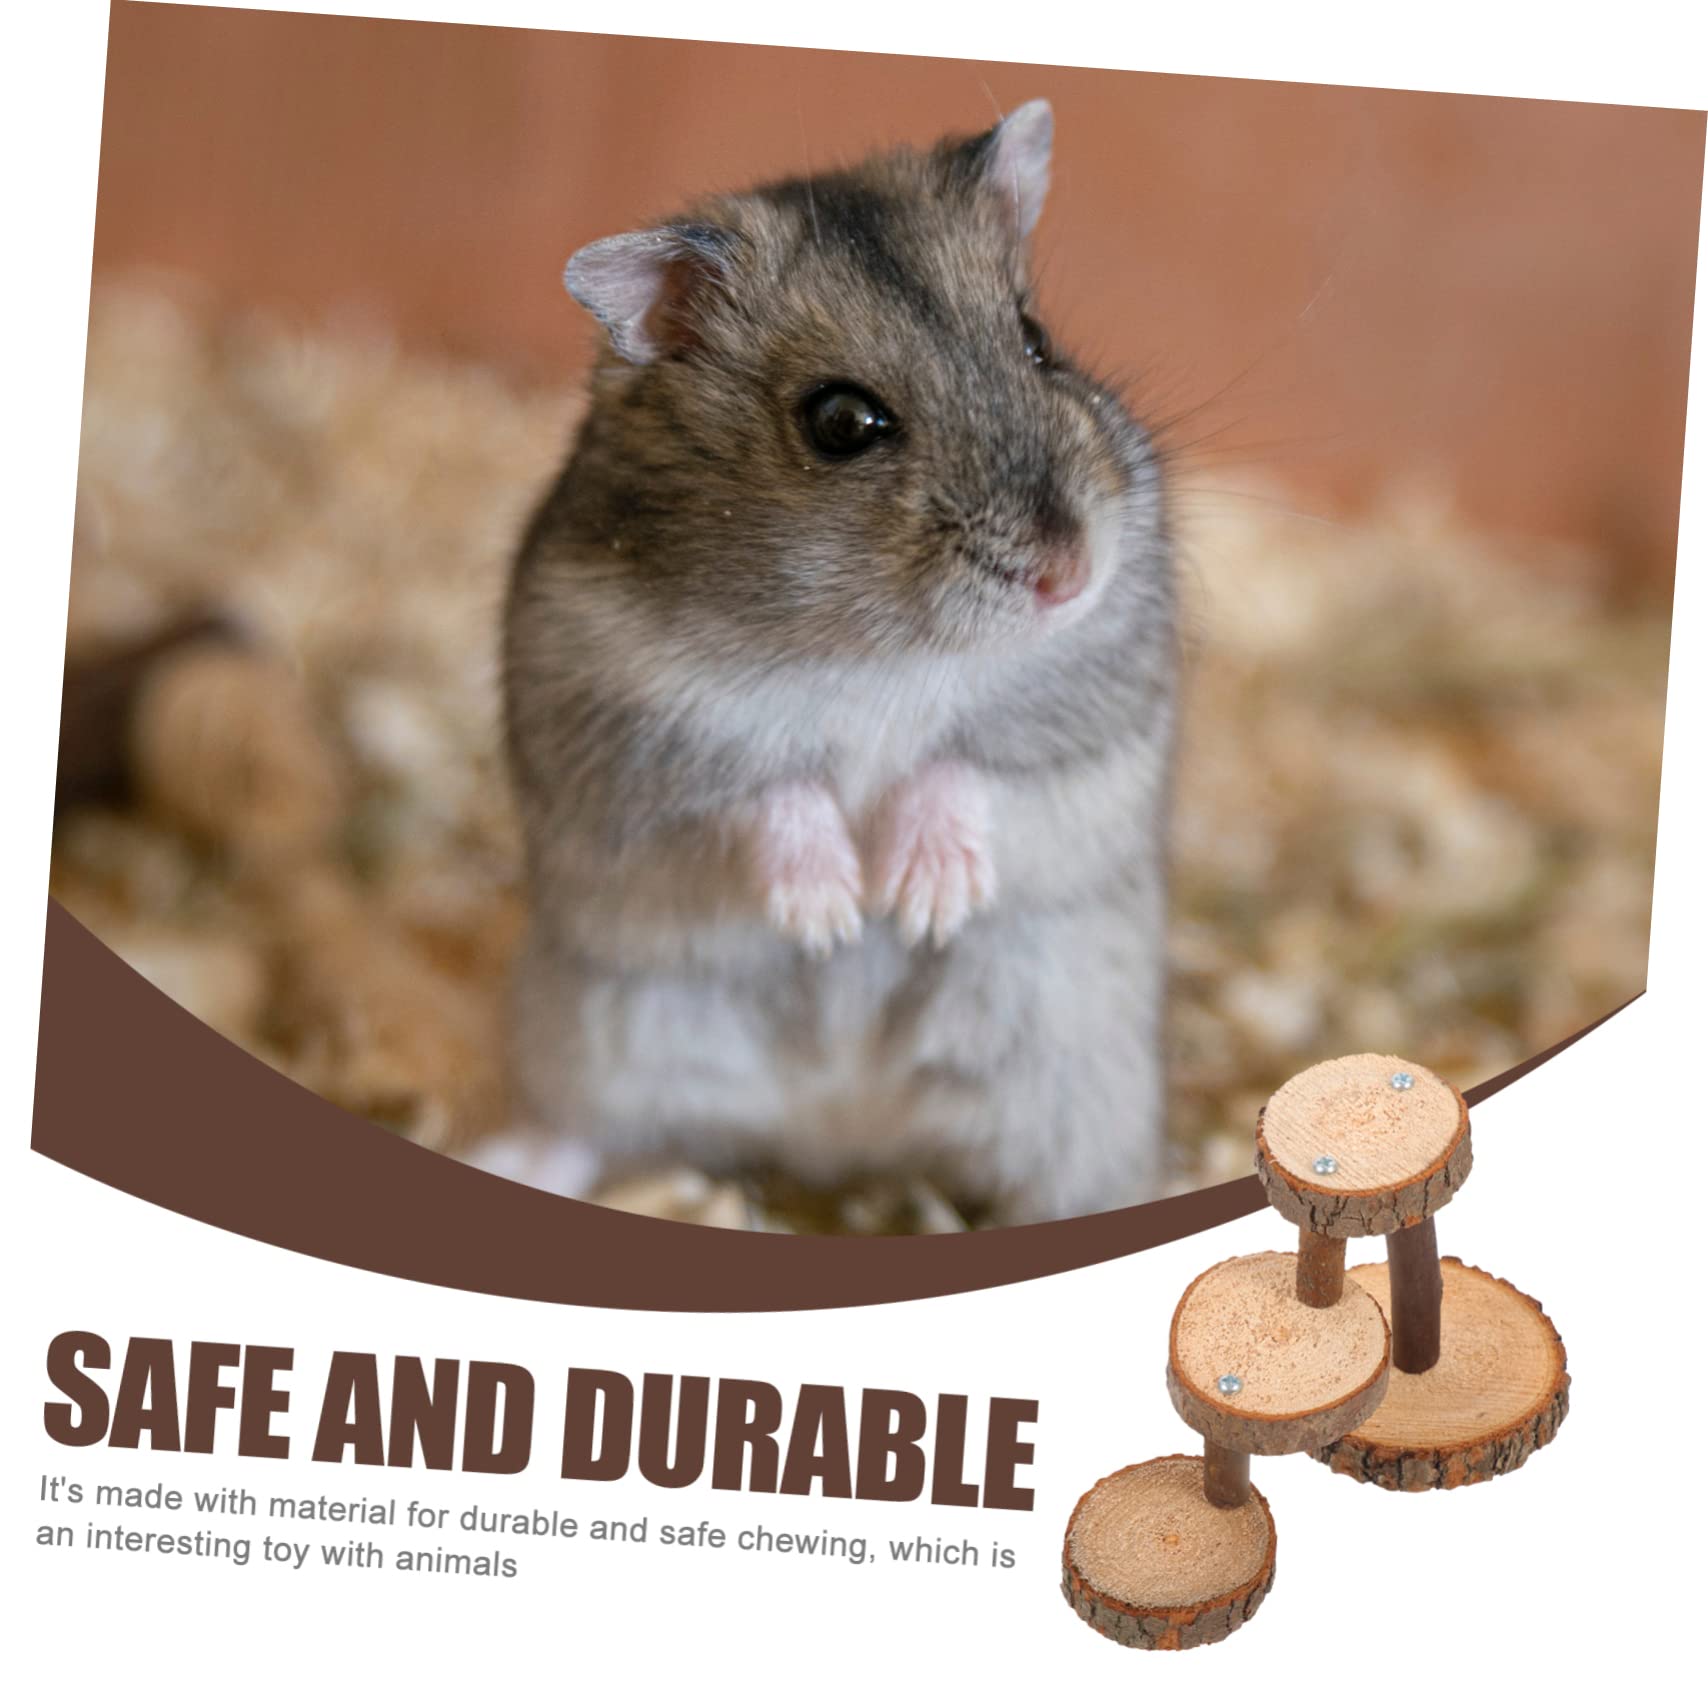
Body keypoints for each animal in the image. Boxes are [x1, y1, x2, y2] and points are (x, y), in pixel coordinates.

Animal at [482, 99, 1177, 1224]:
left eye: (1036, 343)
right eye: (843, 422)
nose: (1069, 575)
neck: (877, 647)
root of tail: (840, 1139)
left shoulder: (1092, 716)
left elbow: (966, 767)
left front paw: (920, 900)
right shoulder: (628, 742)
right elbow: (767, 793)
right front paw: (832, 916)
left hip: (1079, 1077)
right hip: (588, 1031)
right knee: (579, 1128)